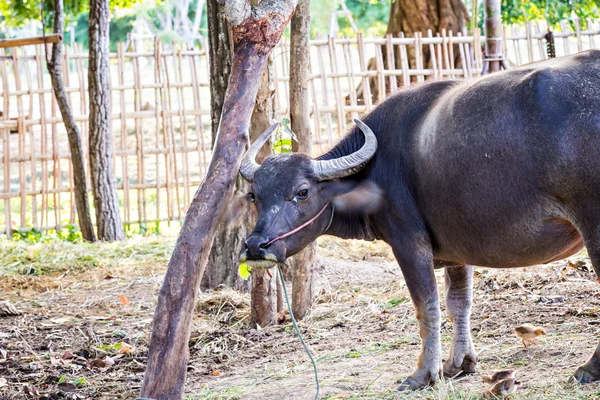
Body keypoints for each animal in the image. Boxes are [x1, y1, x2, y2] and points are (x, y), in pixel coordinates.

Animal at [238, 48, 600, 390]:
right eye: (254, 195)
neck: (374, 169)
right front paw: (459, 364)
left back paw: (588, 368)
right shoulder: (459, 249)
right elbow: (458, 302)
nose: (256, 247)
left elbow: (427, 306)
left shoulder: (408, 243)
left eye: (301, 192)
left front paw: (423, 374)